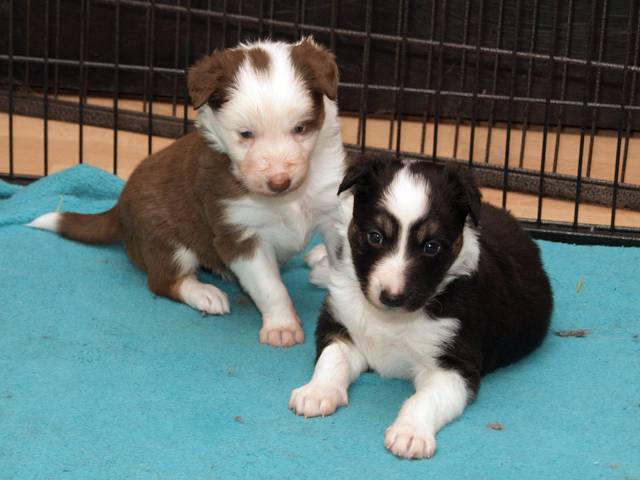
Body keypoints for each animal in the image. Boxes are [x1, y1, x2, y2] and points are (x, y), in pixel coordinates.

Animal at [28, 38, 345, 347]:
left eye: (300, 128)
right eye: (246, 134)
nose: (279, 182)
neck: (286, 200)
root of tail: (118, 208)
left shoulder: (334, 214)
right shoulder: (240, 235)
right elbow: (270, 287)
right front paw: (282, 327)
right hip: (166, 241)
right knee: (163, 281)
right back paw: (206, 293)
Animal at [289, 154, 553, 458]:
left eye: (431, 246)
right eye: (375, 236)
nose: (392, 298)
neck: (392, 320)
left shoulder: (454, 366)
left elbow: (425, 399)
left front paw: (410, 433)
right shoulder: (341, 325)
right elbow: (332, 360)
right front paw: (317, 393)